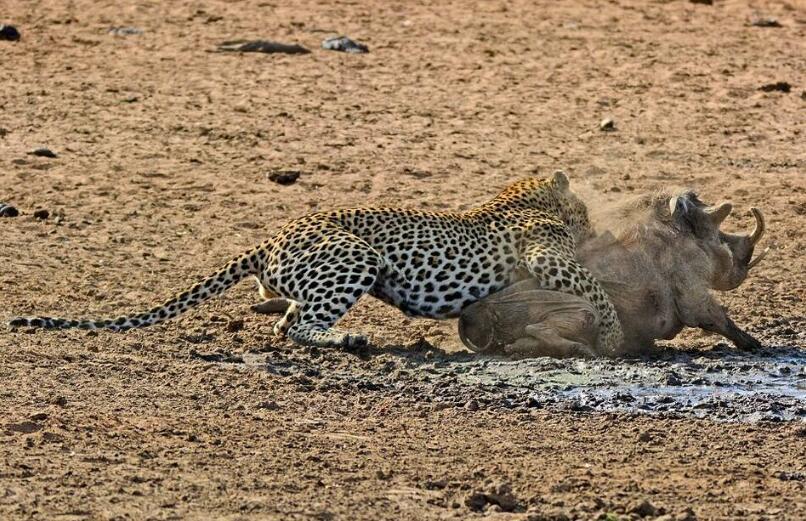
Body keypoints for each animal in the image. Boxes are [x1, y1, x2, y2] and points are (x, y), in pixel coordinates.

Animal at [9, 171, 628, 354]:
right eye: (582, 212)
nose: (593, 225)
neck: (521, 196)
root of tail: (268, 240)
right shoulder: (547, 255)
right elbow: (594, 288)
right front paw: (616, 336)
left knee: (282, 315)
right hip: (355, 257)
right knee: (300, 325)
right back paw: (348, 339)